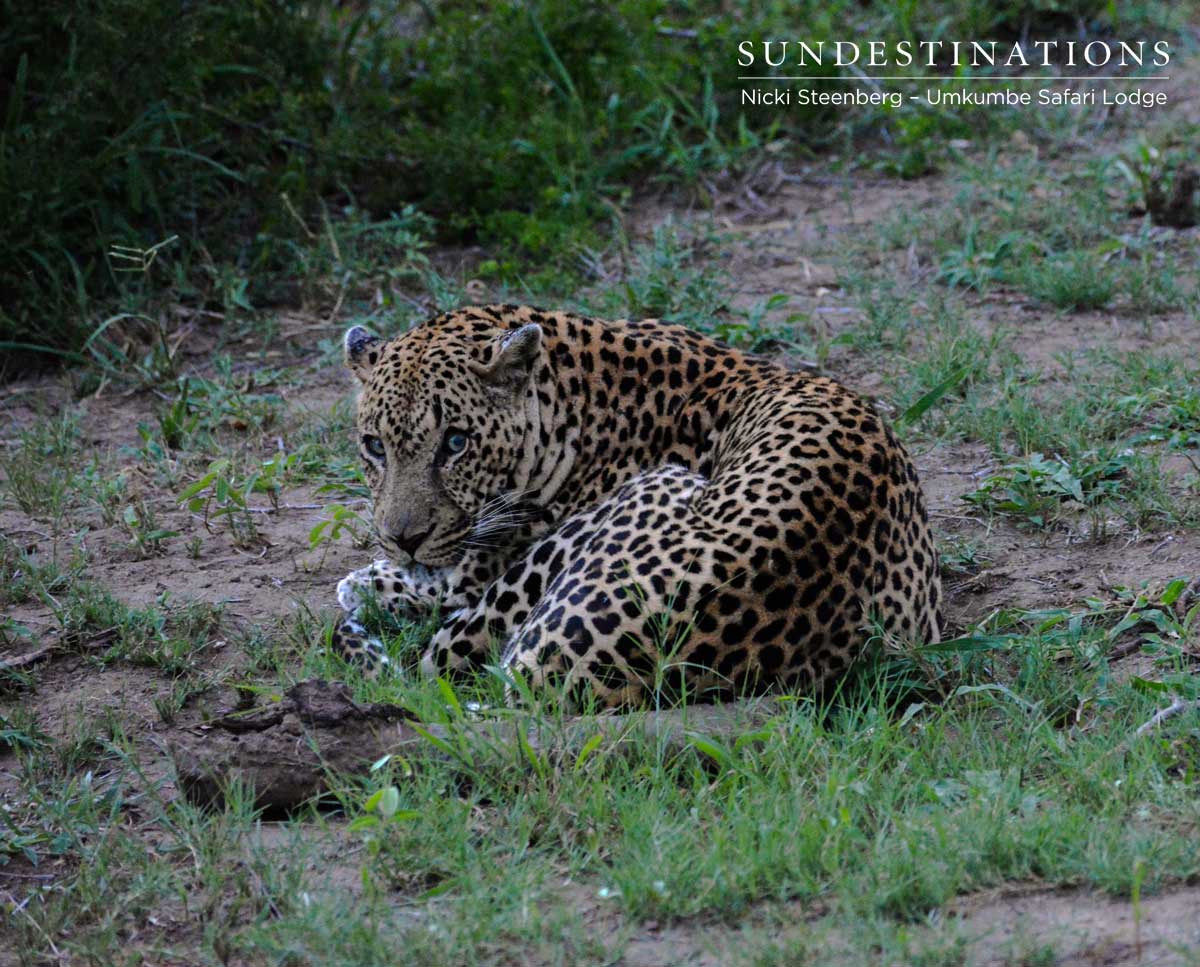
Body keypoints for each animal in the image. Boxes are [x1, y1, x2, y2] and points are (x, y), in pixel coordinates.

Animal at [330, 304, 941, 708]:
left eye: (455, 442)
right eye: (375, 446)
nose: (402, 538)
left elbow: (450, 581)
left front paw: (371, 579)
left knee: (439, 654)